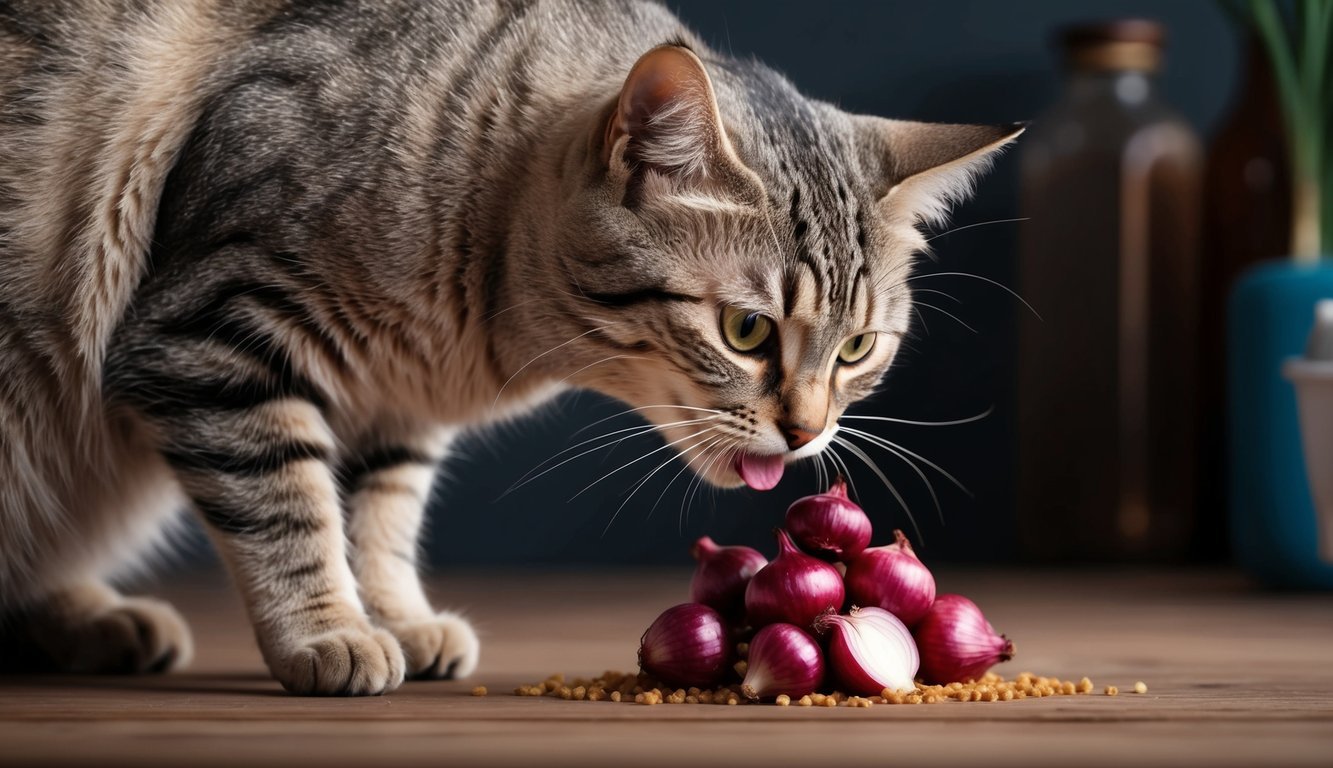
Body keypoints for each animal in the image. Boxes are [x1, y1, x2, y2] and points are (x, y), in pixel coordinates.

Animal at [0, 0, 1018, 693]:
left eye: (856, 348)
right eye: (746, 330)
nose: (806, 433)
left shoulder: (390, 405)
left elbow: (377, 518)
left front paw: (396, 616)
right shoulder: (215, 325)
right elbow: (290, 505)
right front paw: (329, 631)